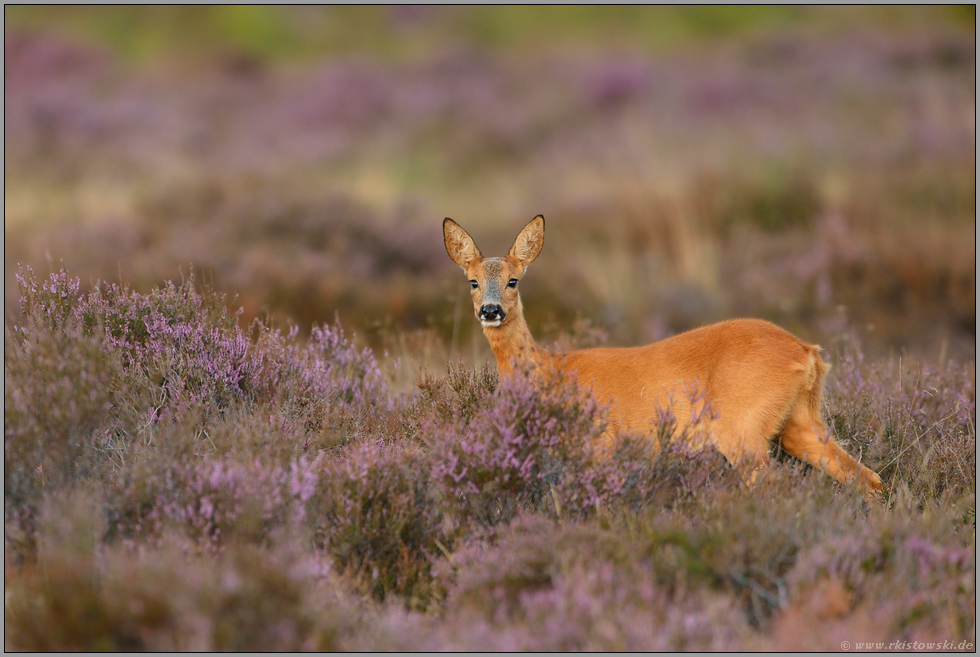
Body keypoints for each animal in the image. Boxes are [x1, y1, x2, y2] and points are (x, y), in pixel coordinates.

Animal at [448, 213, 884, 494]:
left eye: (513, 280)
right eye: (472, 281)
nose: (491, 311)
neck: (549, 369)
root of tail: (808, 353)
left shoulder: (601, 442)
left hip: (741, 428)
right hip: (800, 422)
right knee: (867, 477)